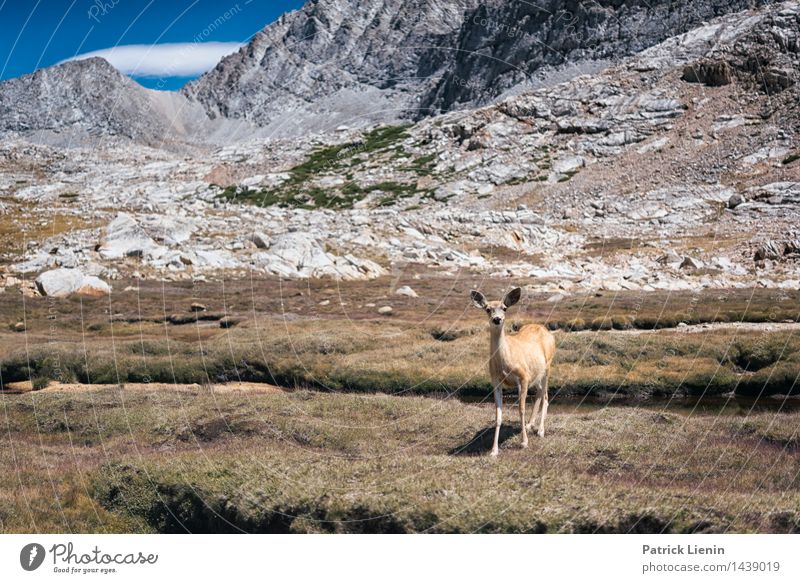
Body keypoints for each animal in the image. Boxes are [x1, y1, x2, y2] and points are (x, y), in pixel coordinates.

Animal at [472, 288, 552, 456]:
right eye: (487, 309)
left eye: (504, 308)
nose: (497, 319)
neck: (505, 361)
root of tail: (545, 330)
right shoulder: (495, 379)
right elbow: (498, 415)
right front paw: (494, 450)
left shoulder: (523, 376)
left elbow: (521, 409)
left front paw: (524, 442)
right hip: (536, 373)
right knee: (539, 393)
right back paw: (530, 425)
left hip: (548, 365)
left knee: (546, 396)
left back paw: (540, 430)